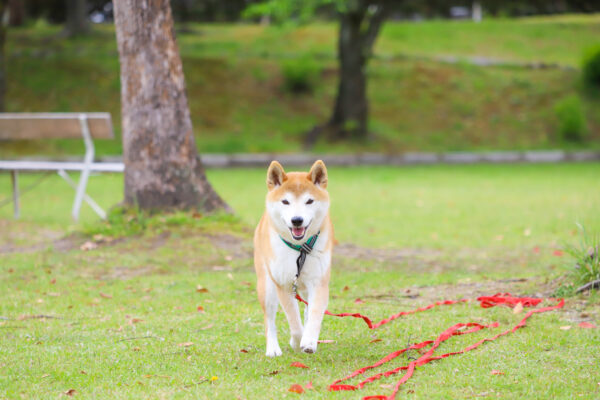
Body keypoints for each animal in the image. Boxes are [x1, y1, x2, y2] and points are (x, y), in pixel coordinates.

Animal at [254, 159, 336, 356]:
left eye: (309, 201)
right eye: (285, 201)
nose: (297, 220)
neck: (300, 249)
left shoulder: (319, 282)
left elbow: (314, 314)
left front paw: (309, 341)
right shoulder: (283, 284)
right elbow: (294, 323)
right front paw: (297, 341)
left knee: (306, 309)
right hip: (267, 287)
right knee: (269, 321)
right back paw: (273, 348)